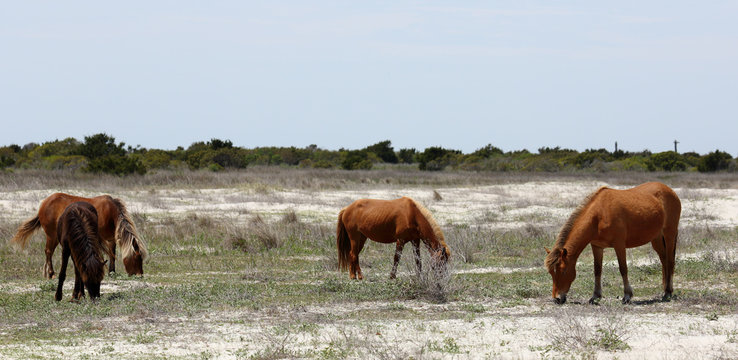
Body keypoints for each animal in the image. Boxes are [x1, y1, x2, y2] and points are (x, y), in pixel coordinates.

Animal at [10, 191, 147, 278]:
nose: (140, 275)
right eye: (137, 257)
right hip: (52, 235)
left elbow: (112, 254)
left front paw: (111, 272)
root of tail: (44, 203)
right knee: (48, 251)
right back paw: (51, 273)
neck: (111, 212)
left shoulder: (111, 238)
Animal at [540, 183, 680, 304]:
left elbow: (623, 269)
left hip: (669, 234)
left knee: (670, 261)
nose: (557, 298)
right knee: (664, 260)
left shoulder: (619, 245)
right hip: (656, 238)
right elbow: (597, 270)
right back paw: (665, 290)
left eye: (563, 271)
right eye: (551, 273)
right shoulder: (597, 246)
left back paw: (668, 292)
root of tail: (669, 190)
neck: (599, 215)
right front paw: (595, 296)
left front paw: (627, 296)